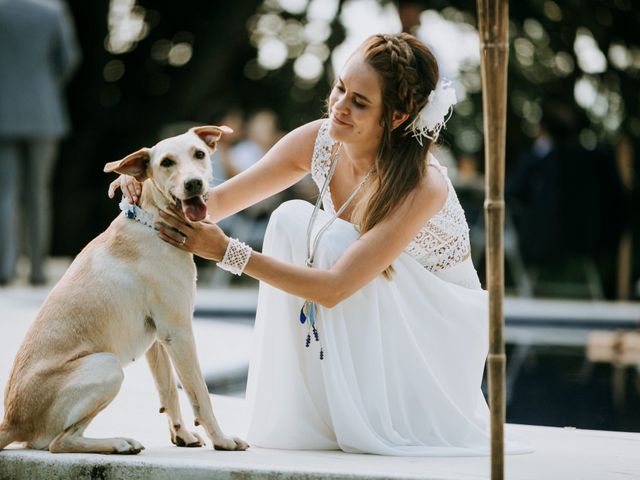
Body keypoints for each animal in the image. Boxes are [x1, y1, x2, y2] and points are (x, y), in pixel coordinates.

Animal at [0, 124, 250, 454]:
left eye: (199, 154)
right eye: (166, 162)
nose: (193, 183)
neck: (153, 221)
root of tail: (13, 421)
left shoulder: (158, 338)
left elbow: (169, 390)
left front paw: (182, 435)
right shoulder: (179, 331)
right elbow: (200, 393)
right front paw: (221, 439)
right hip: (108, 366)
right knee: (59, 442)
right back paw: (119, 442)